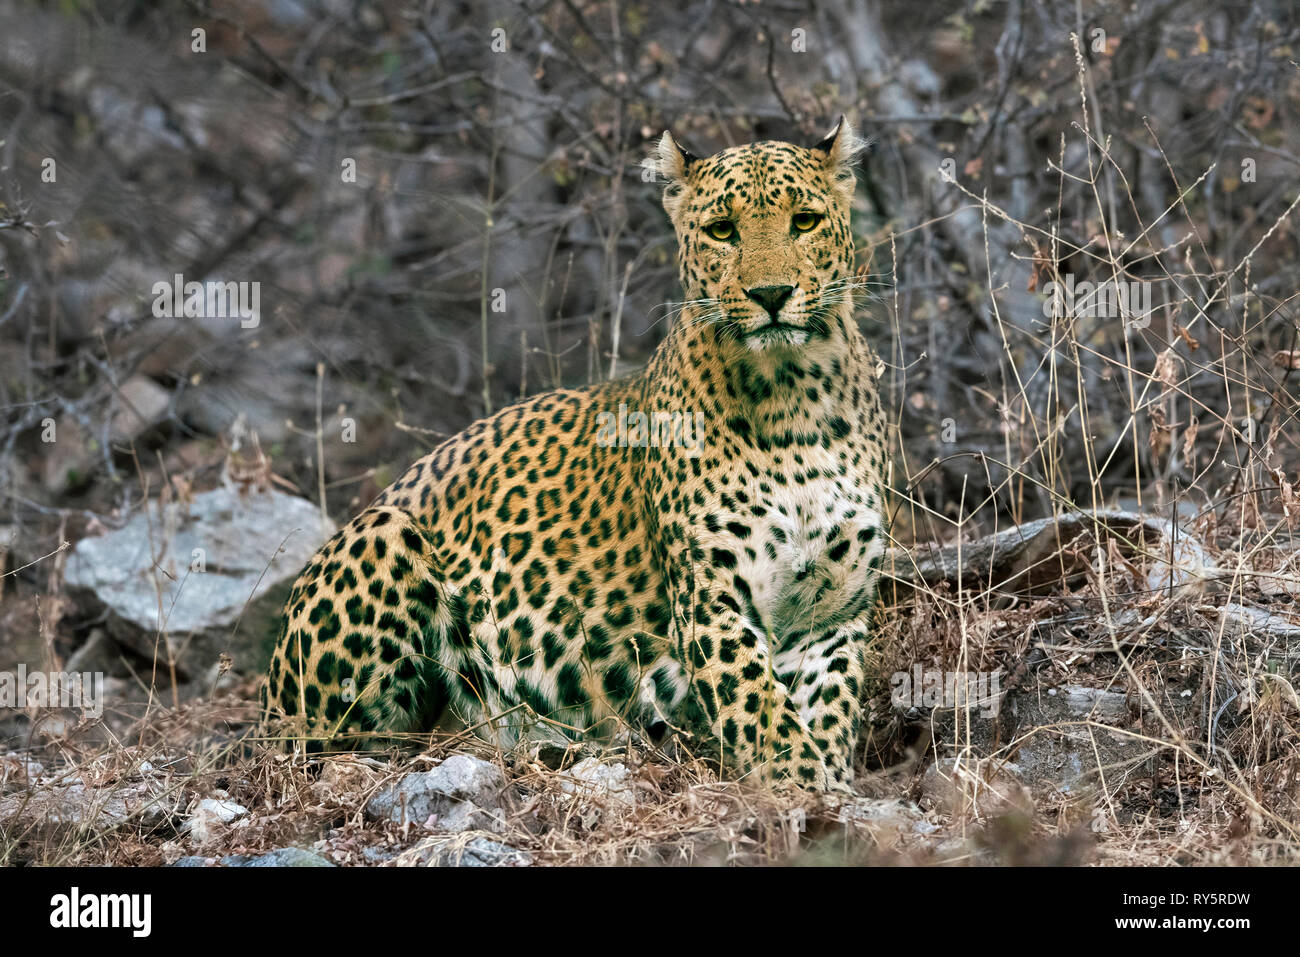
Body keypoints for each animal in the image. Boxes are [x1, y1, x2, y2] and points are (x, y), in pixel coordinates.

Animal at [263, 117, 894, 790]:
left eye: (804, 221)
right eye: (723, 231)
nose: (771, 294)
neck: (794, 397)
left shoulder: (834, 610)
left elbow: (829, 701)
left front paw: (830, 780)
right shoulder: (713, 598)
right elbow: (757, 702)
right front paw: (795, 783)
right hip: (383, 536)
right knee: (348, 748)